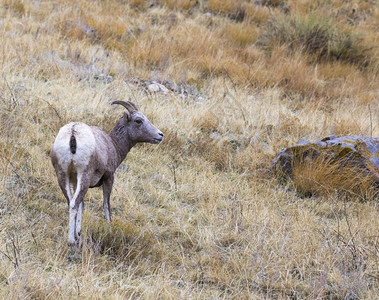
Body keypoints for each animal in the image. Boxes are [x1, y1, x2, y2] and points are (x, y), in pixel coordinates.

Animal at [50, 101, 163, 244]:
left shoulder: (75, 181)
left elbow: (82, 205)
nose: (160, 135)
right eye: (138, 120)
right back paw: (71, 241)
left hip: (62, 176)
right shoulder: (109, 178)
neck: (113, 145)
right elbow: (106, 205)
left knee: (71, 202)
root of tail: (73, 133)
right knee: (74, 204)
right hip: (84, 176)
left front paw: (79, 233)